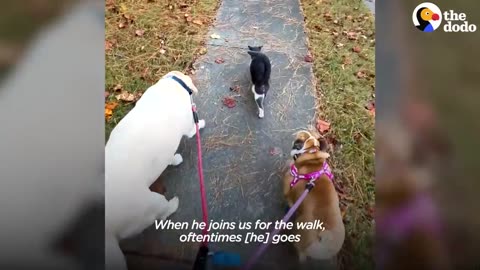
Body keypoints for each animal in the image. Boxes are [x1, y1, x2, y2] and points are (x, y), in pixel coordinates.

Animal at [105, 70, 204, 268]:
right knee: (163, 213)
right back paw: (173, 204)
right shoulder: (188, 127)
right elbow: (191, 132)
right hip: (150, 204)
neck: (170, 86)